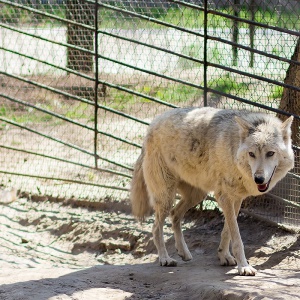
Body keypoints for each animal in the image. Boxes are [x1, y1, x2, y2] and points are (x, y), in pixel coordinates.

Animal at [130, 107, 294, 276]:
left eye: (270, 153)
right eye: (252, 154)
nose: (259, 179)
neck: (234, 149)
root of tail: (152, 125)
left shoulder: (236, 199)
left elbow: (227, 232)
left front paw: (224, 256)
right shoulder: (224, 197)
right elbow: (237, 238)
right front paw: (244, 266)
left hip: (196, 196)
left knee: (175, 214)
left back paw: (184, 253)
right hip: (167, 198)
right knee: (156, 227)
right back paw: (165, 259)